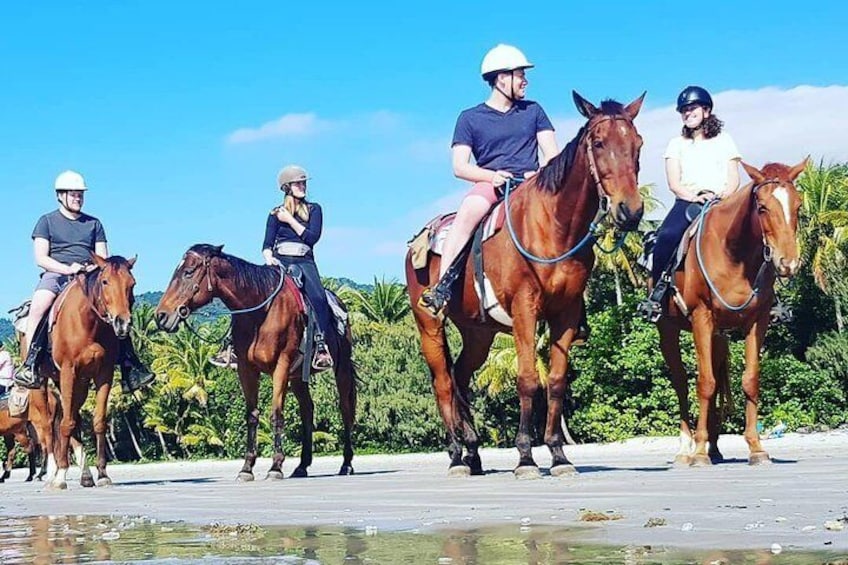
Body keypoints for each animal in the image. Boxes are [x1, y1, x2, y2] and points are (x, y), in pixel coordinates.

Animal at [32, 253, 139, 486]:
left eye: (132, 284)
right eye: (105, 281)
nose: (122, 323)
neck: (88, 323)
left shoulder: (104, 373)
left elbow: (98, 421)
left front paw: (102, 473)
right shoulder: (68, 370)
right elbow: (65, 424)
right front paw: (60, 476)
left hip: (77, 384)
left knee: (73, 417)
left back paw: (86, 475)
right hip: (42, 386)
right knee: (48, 427)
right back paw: (52, 472)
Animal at [154, 243, 356, 480]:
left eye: (188, 272)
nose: (161, 316)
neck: (261, 311)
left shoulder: (282, 365)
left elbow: (276, 413)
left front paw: (276, 466)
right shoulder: (246, 369)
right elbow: (251, 415)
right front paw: (247, 467)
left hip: (341, 369)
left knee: (345, 409)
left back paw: (346, 464)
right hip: (298, 376)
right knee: (307, 410)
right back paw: (302, 466)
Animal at [408, 92, 644, 476]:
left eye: (637, 143)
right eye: (598, 142)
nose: (631, 211)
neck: (553, 227)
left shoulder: (566, 313)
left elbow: (557, 382)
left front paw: (559, 455)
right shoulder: (524, 310)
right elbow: (528, 379)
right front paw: (525, 457)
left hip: (478, 332)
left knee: (460, 377)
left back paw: (473, 452)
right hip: (429, 324)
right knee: (443, 383)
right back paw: (457, 455)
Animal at [660, 160, 804, 468]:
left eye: (798, 206)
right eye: (762, 207)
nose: (788, 263)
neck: (734, 254)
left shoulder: (757, 322)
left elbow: (749, 380)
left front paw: (756, 447)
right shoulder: (701, 318)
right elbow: (704, 383)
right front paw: (698, 452)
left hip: (717, 336)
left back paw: (714, 448)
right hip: (668, 329)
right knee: (681, 381)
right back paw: (686, 449)